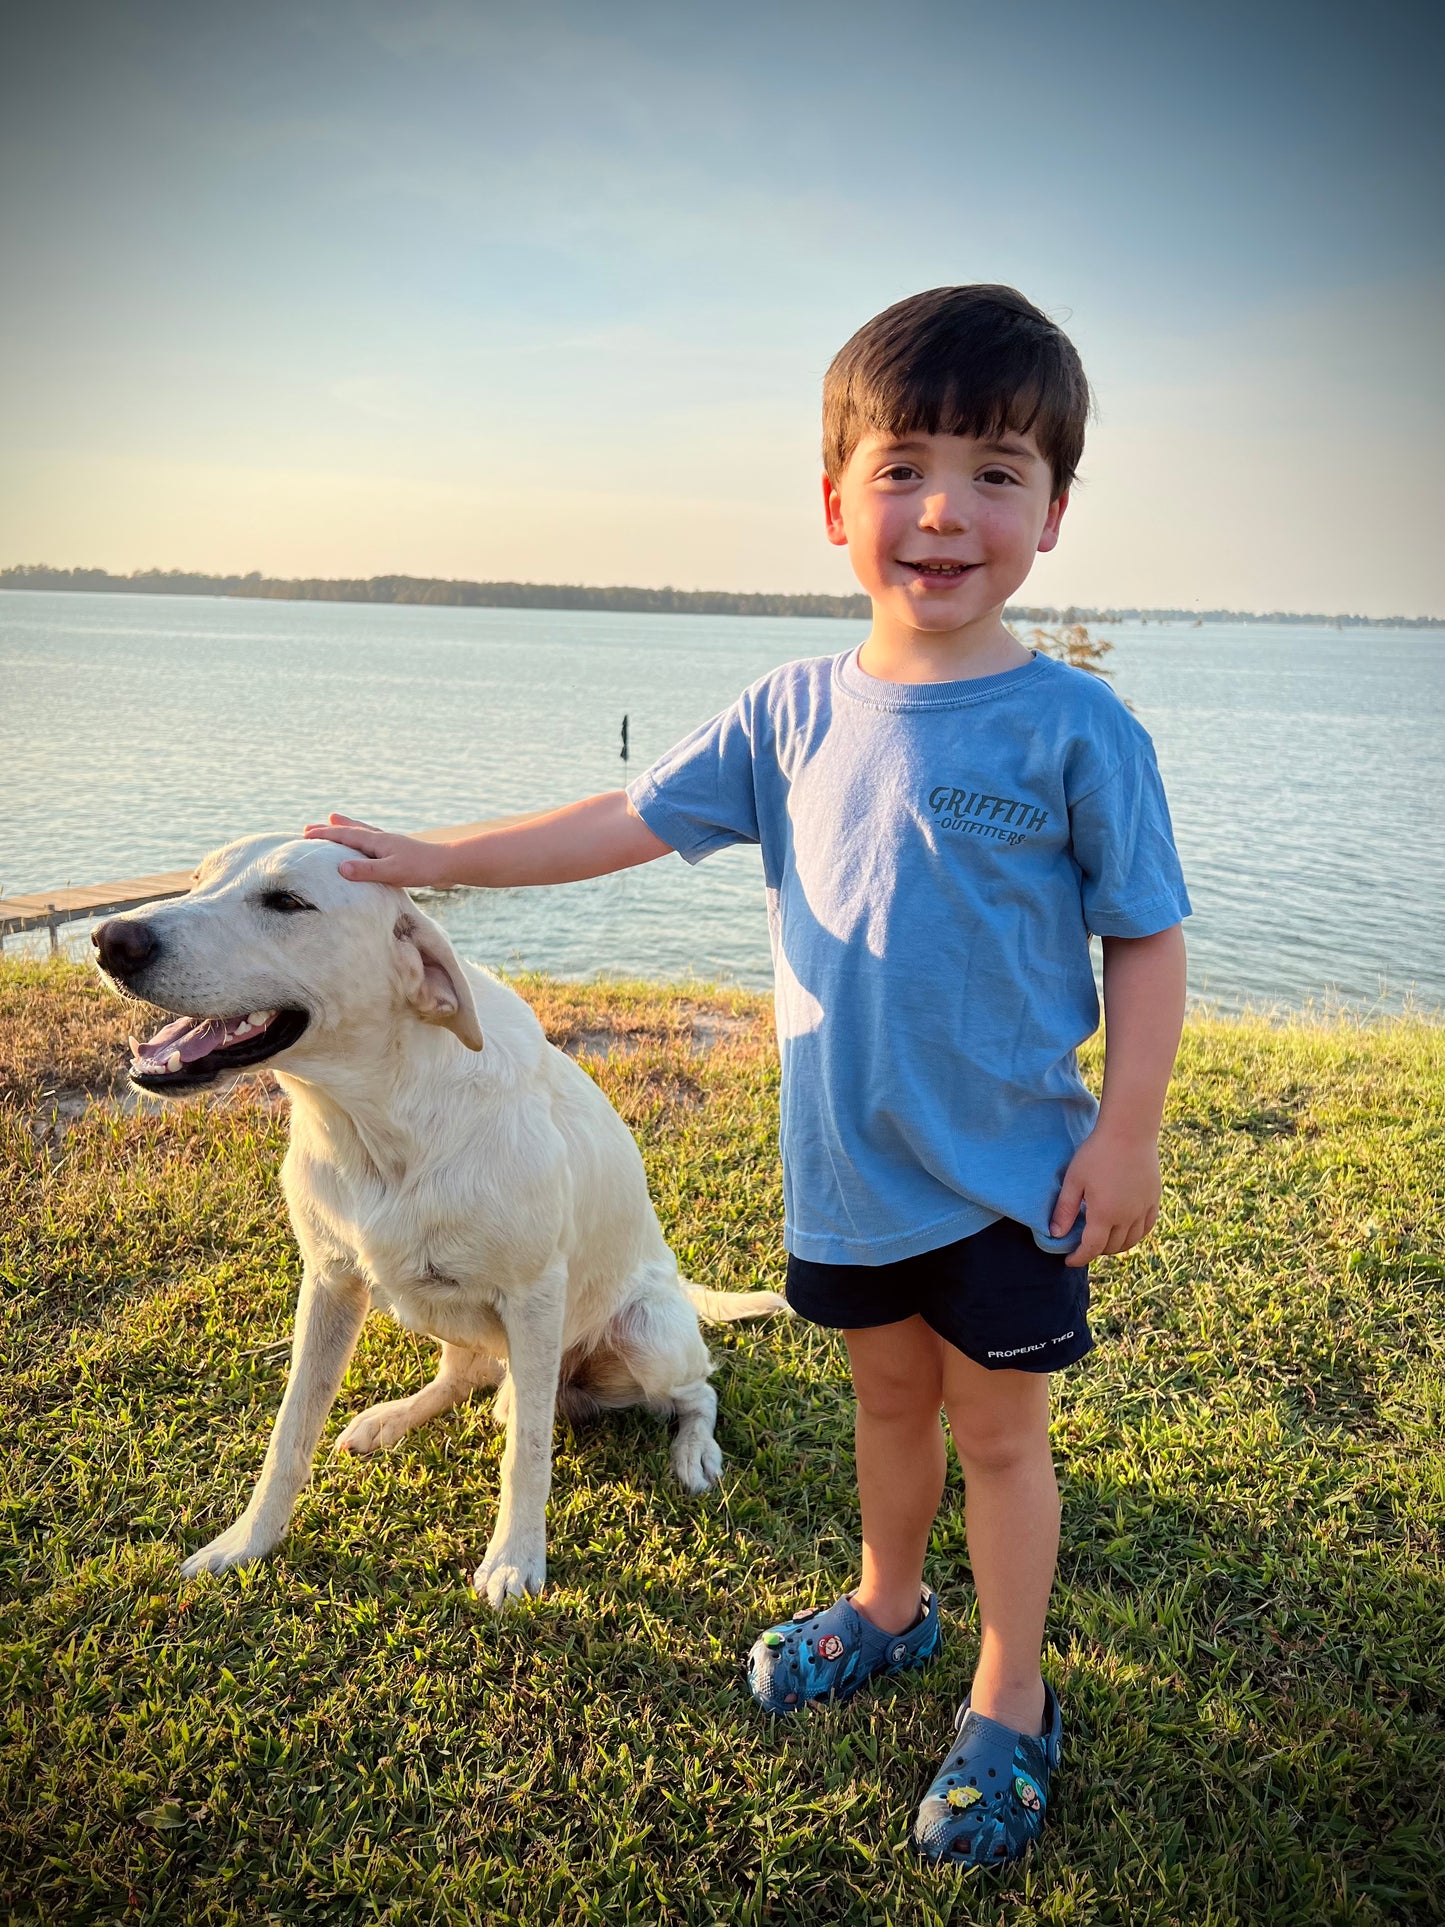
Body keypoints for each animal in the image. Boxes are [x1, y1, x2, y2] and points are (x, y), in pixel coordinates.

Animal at [90, 836, 786, 1603]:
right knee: (469, 1374)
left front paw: (515, 1557)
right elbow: (290, 1431)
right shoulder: (329, 1283)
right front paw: (247, 1541)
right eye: (195, 880)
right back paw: (391, 1418)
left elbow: (527, 1454)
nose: (111, 939)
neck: (378, 1123)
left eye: (287, 902)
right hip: (430, 1306)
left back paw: (693, 1450)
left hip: (646, 1338)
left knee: (695, 1389)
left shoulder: (535, 1296)